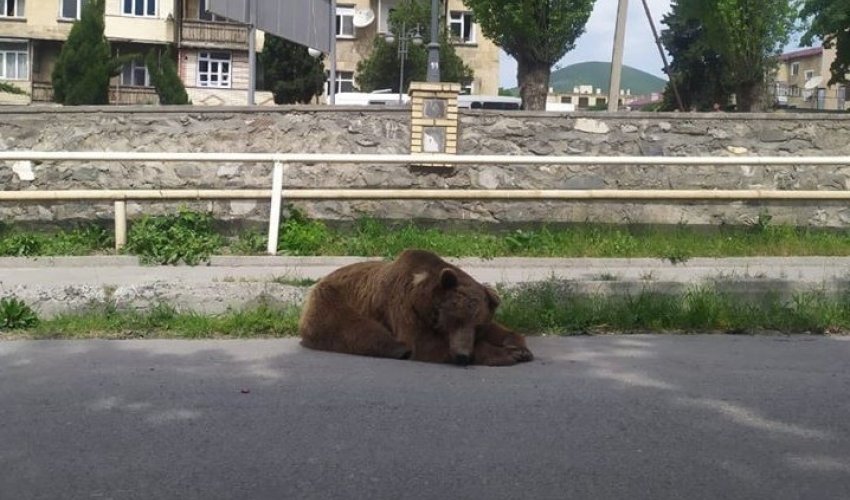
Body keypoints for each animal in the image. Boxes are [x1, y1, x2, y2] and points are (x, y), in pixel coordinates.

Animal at [300, 248, 528, 366]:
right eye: (454, 320)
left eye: (478, 326)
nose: (462, 356)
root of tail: (321, 280)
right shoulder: (405, 307)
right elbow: (423, 343)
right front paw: (506, 355)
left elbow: (499, 330)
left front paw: (519, 348)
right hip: (334, 300)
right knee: (357, 328)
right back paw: (398, 349)